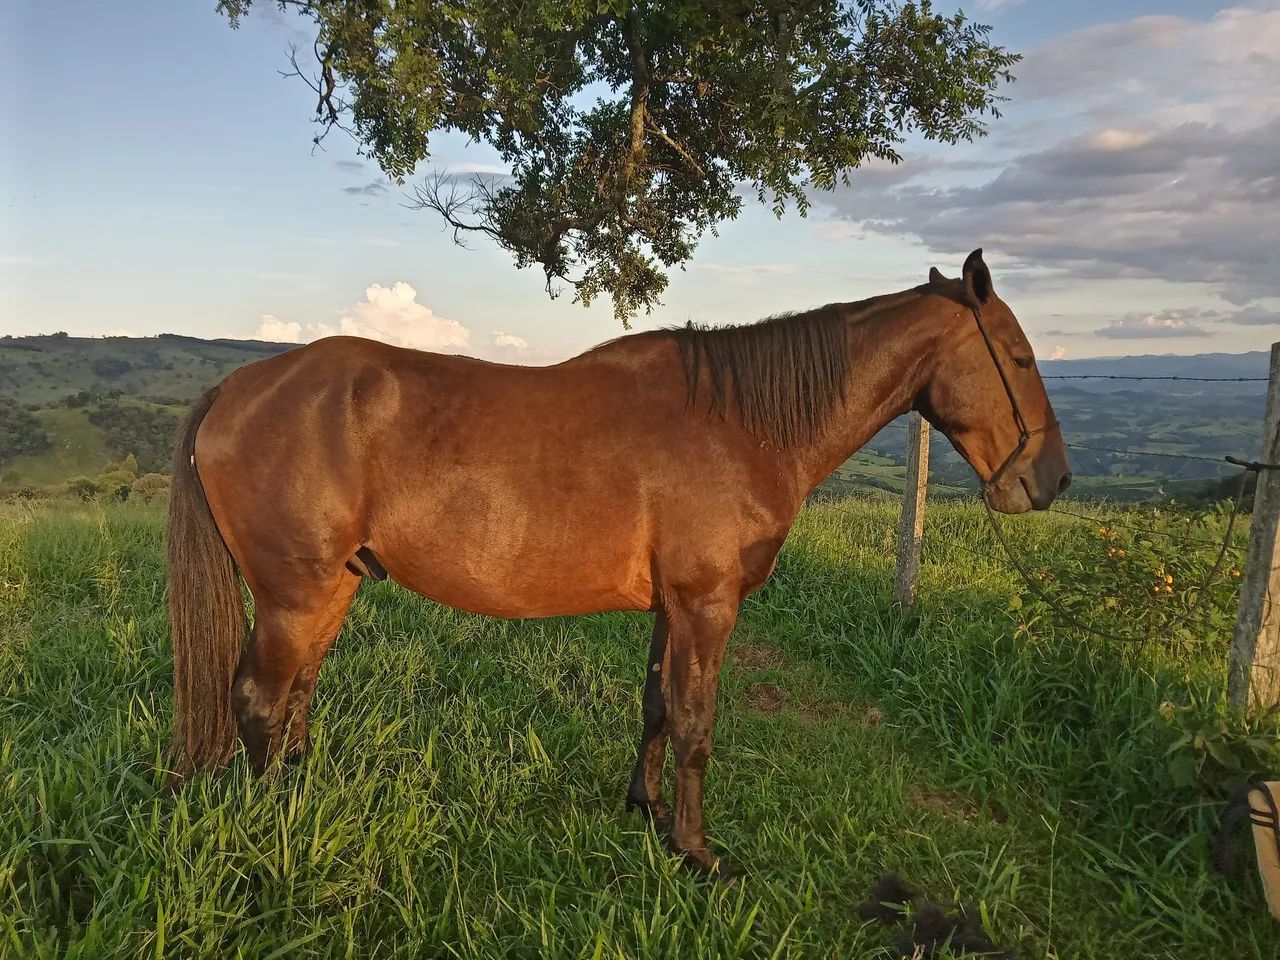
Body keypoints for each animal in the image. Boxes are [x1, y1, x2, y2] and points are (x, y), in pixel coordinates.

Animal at [167, 249, 1070, 878]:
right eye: (1021, 357)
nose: (1052, 480)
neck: (740, 423)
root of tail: (236, 387)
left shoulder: (673, 606)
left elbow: (657, 708)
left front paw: (644, 809)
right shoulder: (708, 604)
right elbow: (699, 723)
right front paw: (696, 853)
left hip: (333, 590)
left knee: (297, 694)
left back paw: (302, 792)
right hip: (295, 595)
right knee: (258, 699)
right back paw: (271, 826)